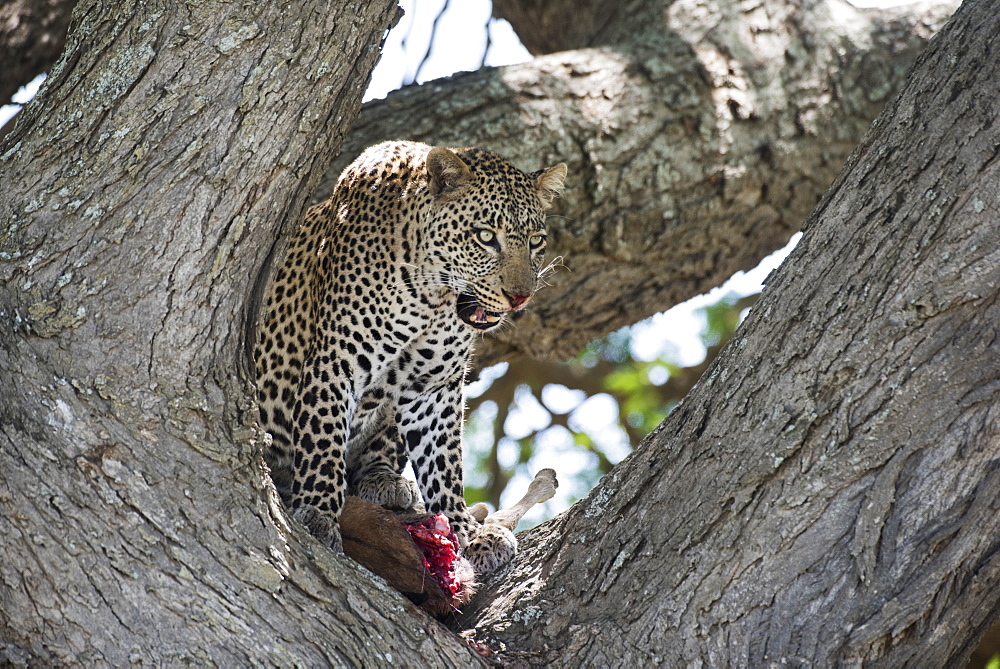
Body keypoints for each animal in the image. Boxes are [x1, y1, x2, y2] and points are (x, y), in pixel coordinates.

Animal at [254, 141, 568, 576]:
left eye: (536, 241)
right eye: (486, 236)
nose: (519, 296)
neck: (431, 296)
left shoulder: (434, 388)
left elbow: (445, 466)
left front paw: (464, 534)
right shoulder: (336, 362)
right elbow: (322, 439)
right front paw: (317, 513)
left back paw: (386, 482)